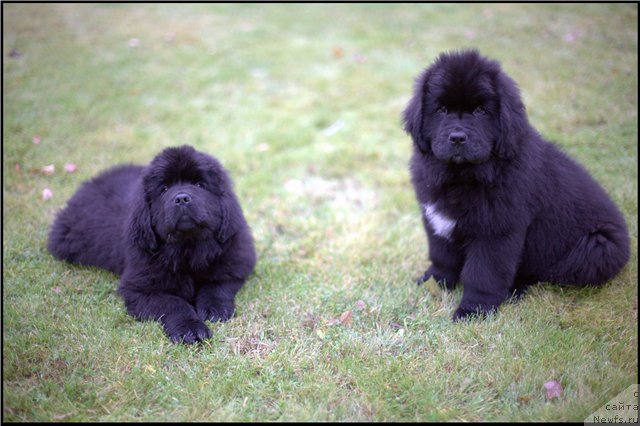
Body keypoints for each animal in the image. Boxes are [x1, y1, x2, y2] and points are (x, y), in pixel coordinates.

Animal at [48, 146, 256, 342]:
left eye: (199, 184)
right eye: (164, 189)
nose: (181, 198)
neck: (187, 247)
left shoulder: (233, 262)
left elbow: (216, 285)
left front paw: (215, 309)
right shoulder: (141, 289)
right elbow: (174, 303)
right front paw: (189, 329)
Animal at [404, 50, 632, 322]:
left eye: (480, 111)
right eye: (442, 109)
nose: (457, 138)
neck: (462, 175)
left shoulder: (496, 231)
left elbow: (483, 274)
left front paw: (472, 311)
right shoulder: (436, 220)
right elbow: (441, 257)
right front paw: (433, 283)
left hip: (597, 247)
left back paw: (516, 289)